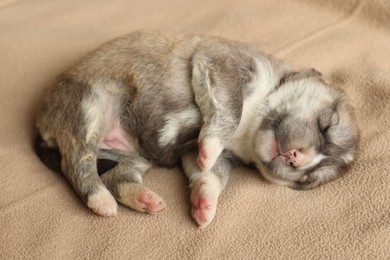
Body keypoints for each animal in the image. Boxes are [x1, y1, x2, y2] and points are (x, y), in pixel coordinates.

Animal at [35, 31, 358, 228]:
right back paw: (100, 200)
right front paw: (211, 146)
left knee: (117, 175)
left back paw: (145, 199)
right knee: (77, 163)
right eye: (327, 124)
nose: (296, 159)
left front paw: (204, 206)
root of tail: (41, 122)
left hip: (128, 156)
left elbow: (210, 175)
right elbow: (230, 111)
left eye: (308, 179)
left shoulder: (205, 156)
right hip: (89, 107)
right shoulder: (226, 65)